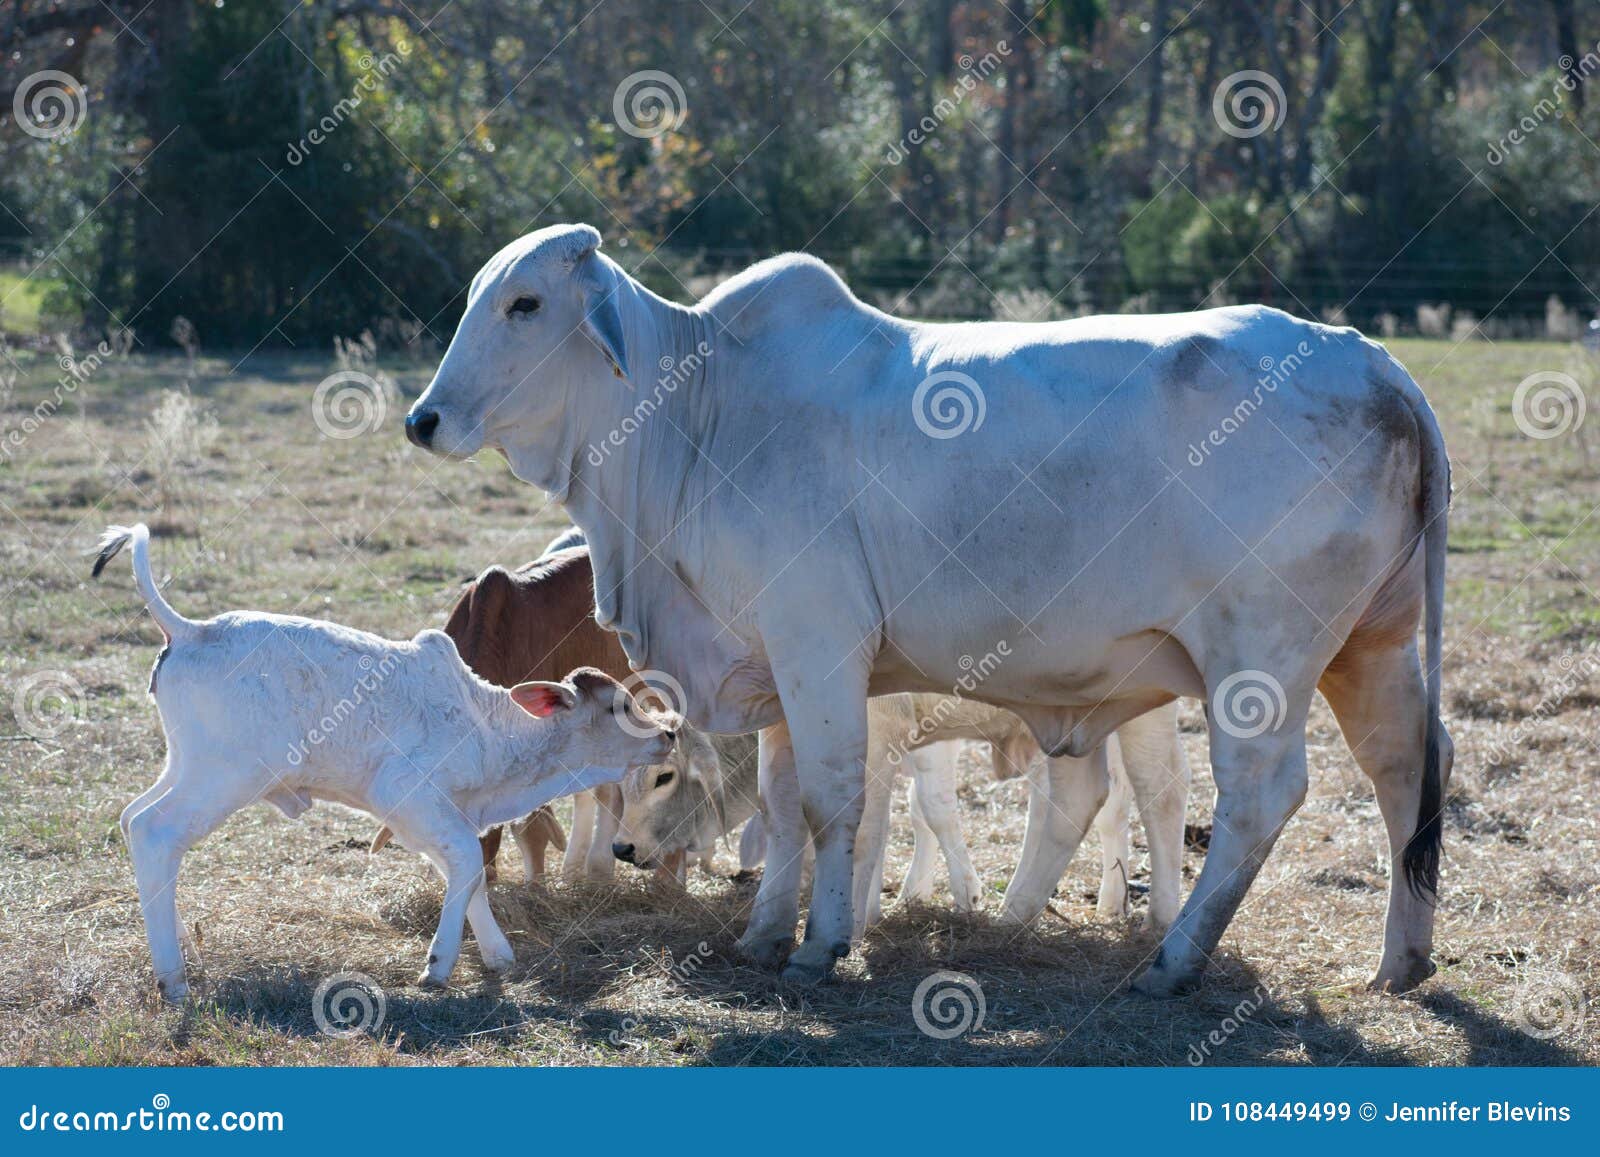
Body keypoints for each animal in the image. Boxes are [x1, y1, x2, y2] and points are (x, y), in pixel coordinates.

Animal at [404, 224, 1452, 995]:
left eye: (525, 303)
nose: (422, 419)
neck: (698, 416)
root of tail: (1377, 365)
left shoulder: (821, 645)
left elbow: (832, 801)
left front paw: (822, 942)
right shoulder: (773, 664)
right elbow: (779, 803)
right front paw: (762, 936)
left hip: (1258, 658)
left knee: (1259, 795)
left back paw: (1175, 957)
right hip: (1374, 645)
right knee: (1407, 768)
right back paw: (1399, 960)